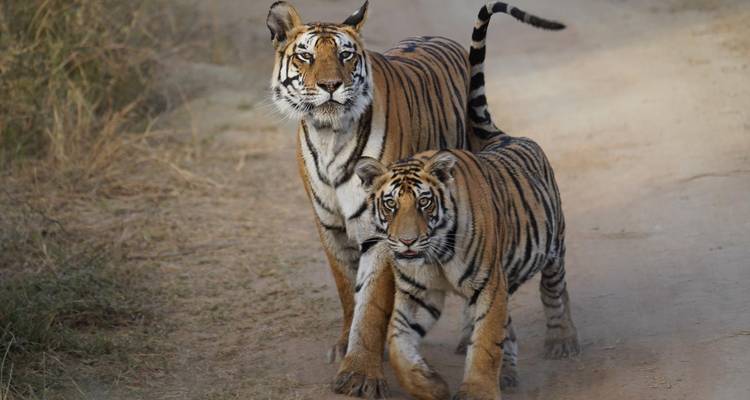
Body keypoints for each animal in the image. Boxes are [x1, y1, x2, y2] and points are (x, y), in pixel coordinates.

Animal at [354, 134, 580, 400]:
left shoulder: (488, 285)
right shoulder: (417, 293)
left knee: (554, 292)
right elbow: (398, 342)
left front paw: (477, 391)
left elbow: (485, 343)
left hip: (553, 248)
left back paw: (562, 340)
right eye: (390, 204)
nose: (407, 241)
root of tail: (509, 136)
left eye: (424, 202)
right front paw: (431, 385)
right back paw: (507, 373)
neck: (437, 254)